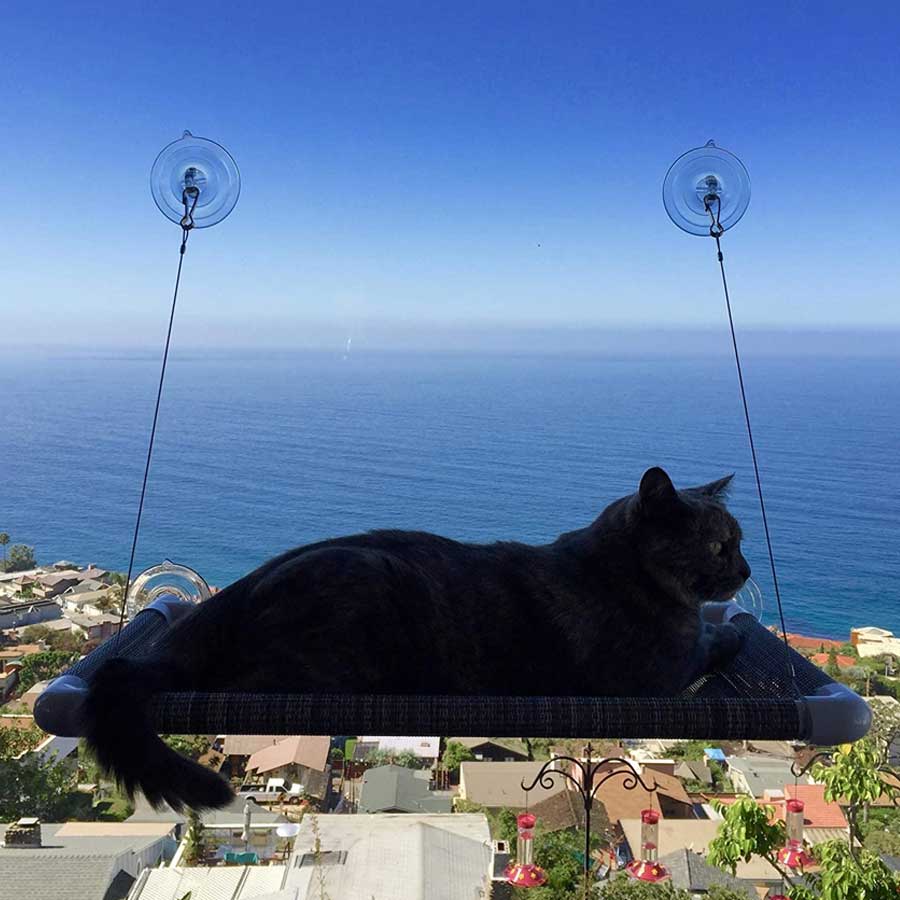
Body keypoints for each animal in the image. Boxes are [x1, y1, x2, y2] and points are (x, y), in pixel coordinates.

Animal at [84, 468, 748, 812]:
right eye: (721, 546)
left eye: (740, 542)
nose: (744, 572)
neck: (617, 569)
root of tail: (232, 598)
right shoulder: (654, 672)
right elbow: (713, 639)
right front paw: (733, 627)